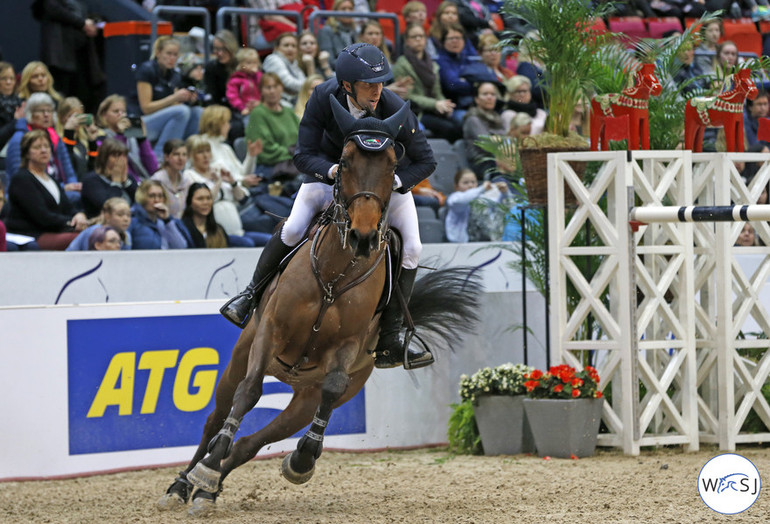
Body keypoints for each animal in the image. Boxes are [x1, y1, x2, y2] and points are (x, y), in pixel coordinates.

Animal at [156, 96, 480, 512]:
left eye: (393, 165)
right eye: (344, 161)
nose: (362, 236)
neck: (334, 276)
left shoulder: (346, 349)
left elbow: (332, 388)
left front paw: (302, 460)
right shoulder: (270, 333)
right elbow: (250, 392)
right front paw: (204, 471)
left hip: (304, 401)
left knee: (251, 444)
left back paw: (209, 487)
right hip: (242, 354)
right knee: (217, 416)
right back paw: (185, 483)